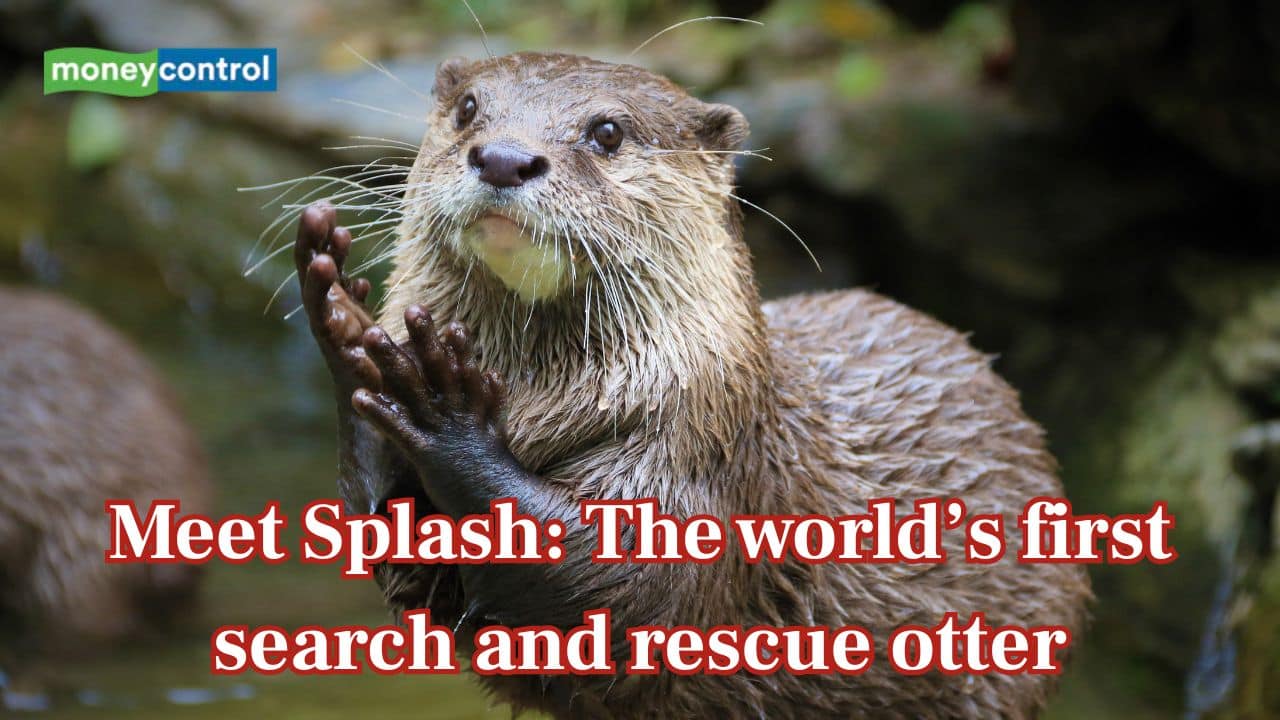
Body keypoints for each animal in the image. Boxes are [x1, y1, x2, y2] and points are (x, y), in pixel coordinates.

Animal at [292, 52, 1090, 718]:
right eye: (468, 108)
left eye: (607, 131)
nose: (505, 157)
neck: (536, 401)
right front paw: (345, 326)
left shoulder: (705, 459)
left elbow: (623, 589)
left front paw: (450, 417)